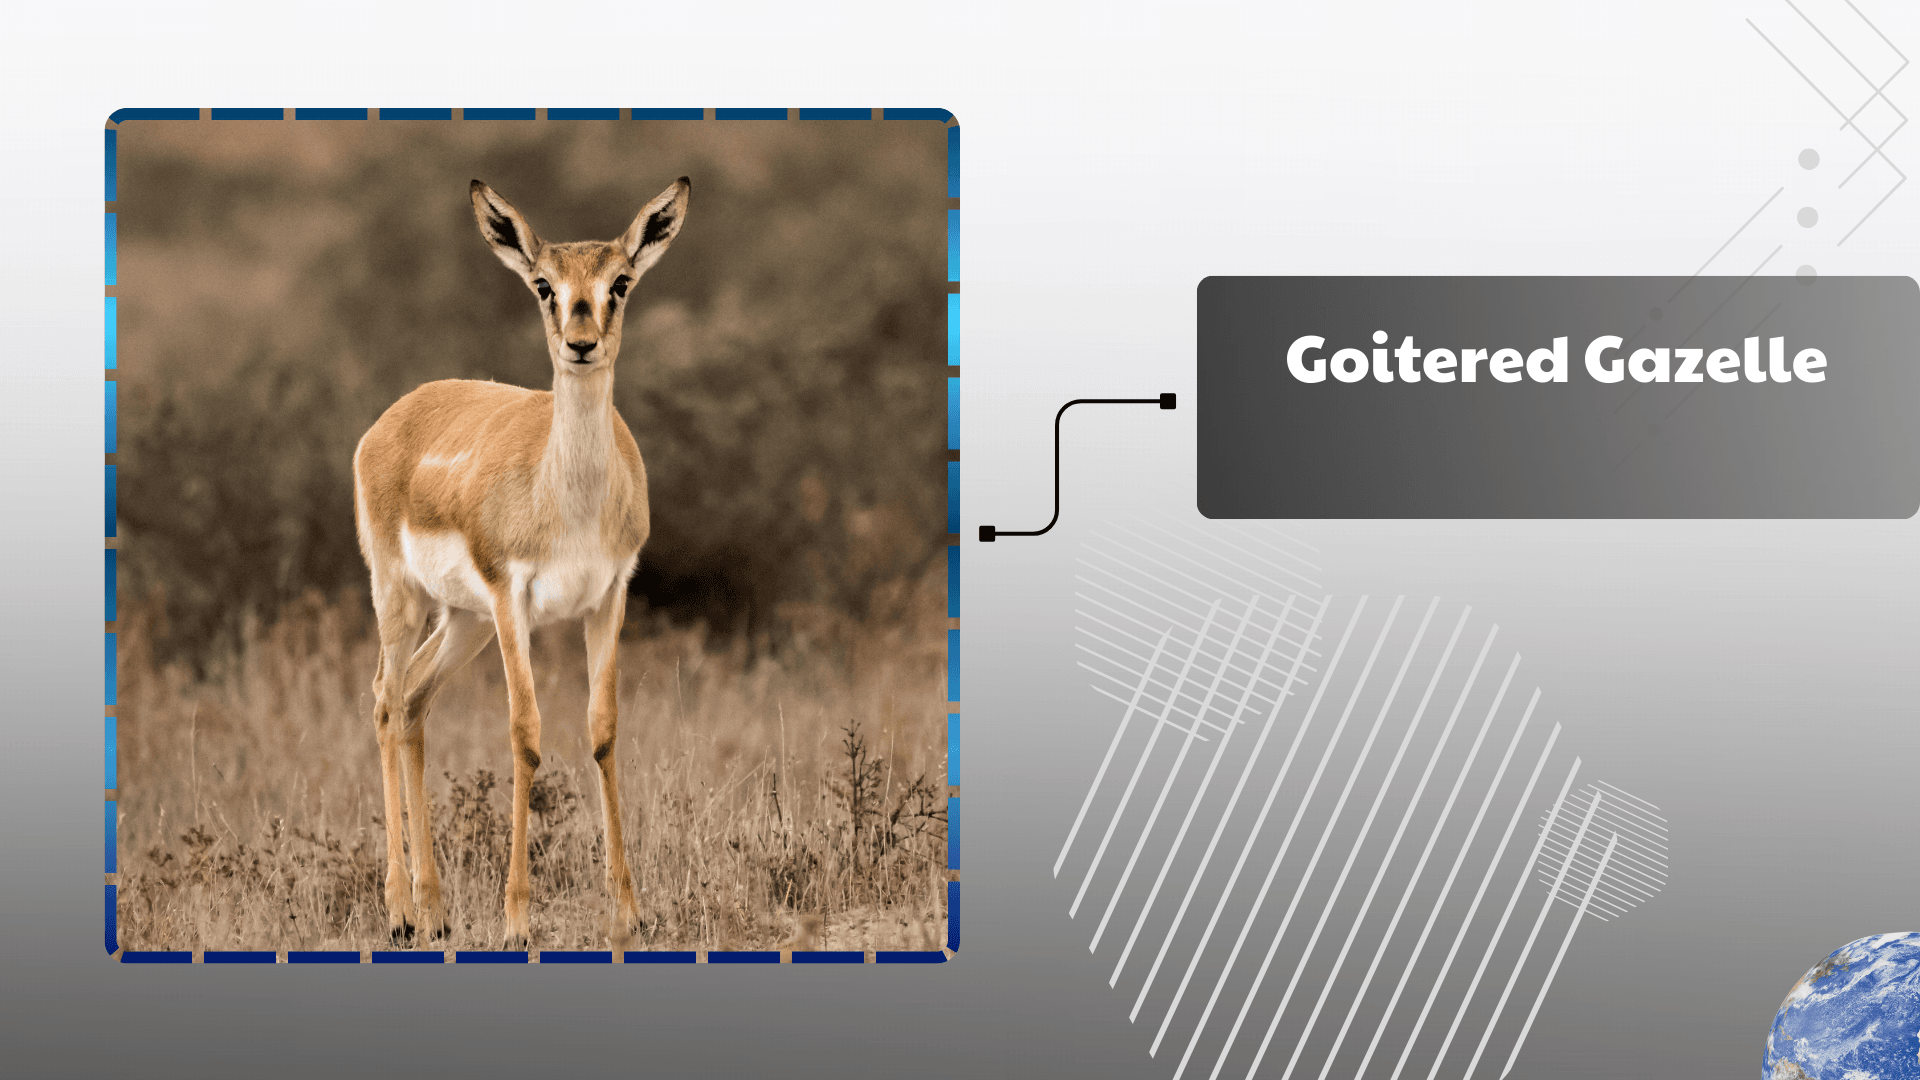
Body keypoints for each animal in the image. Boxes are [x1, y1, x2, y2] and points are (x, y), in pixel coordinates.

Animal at [352, 177, 690, 949]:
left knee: (414, 700)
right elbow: (525, 735)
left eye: (619, 282)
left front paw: (629, 912)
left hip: (462, 621)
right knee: (385, 697)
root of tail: (392, 418)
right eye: (543, 285)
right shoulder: (513, 600)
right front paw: (515, 921)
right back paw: (400, 913)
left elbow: (603, 730)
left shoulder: (609, 596)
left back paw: (436, 911)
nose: (581, 344)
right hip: (402, 598)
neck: (567, 498)